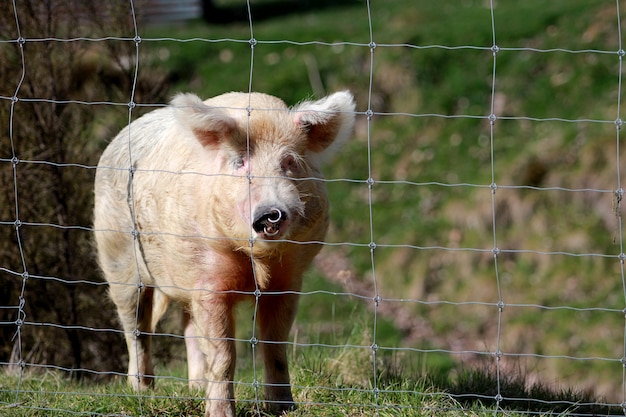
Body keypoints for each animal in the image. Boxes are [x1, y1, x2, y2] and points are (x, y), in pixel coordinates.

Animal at [94, 89, 356, 414]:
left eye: (289, 161)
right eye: (239, 162)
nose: (271, 213)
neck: (257, 264)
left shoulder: (288, 281)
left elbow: (275, 345)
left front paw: (284, 408)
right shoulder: (209, 282)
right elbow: (224, 354)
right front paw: (221, 413)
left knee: (188, 327)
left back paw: (195, 388)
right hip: (118, 256)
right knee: (136, 326)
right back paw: (142, 391)